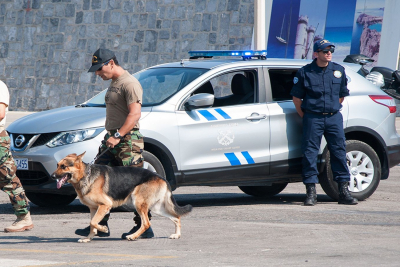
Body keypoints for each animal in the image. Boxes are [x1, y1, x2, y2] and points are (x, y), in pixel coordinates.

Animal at [51, 153, 192, 243]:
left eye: (64, 167)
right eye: (57, 165)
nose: (52, 176)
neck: (85, 176)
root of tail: (161, 177)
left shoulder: (105, 205)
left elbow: (94, 222)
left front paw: (103, 229)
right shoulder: (93, 208)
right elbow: (92, 224)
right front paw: (88, 238)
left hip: (139, 203)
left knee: (146, 223)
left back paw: (132, 236)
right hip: (157, 208)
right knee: (176, 217)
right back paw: (177, 235)